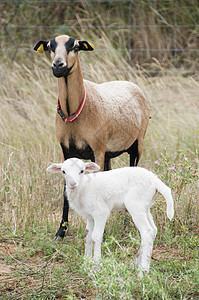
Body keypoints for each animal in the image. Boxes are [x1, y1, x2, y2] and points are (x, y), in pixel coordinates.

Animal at [33, 35, 150, 240]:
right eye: (49, 47)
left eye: (75, 46)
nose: (58, 66)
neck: (73, 113)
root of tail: (132, 84)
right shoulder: (66, 150)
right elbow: (65, 191)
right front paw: (61, 231)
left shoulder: (97, 149)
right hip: (109, 153)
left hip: (137, 143)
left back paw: (128, 223)